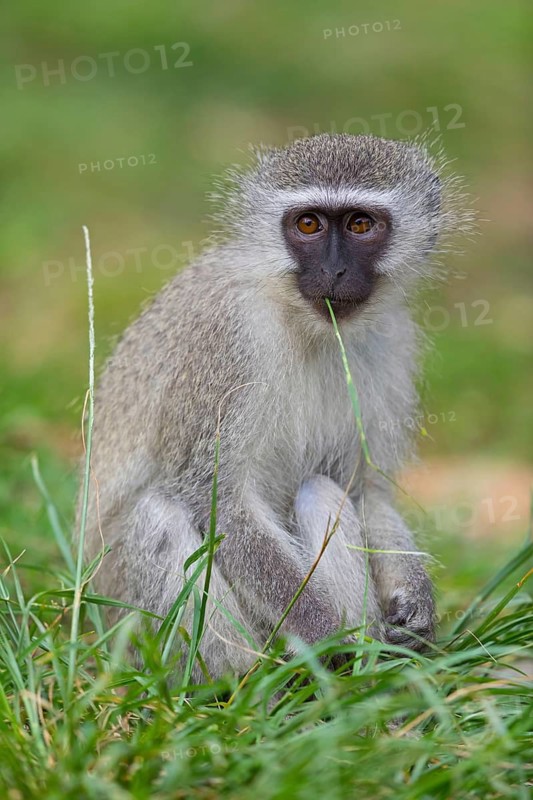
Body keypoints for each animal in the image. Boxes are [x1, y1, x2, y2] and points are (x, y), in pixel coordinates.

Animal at [80, 133, 472, 681]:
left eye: (360, 224)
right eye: (308, 224)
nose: (334, 270)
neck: (302, 320)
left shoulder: (392, 341)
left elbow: (364, 488)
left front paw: (415, 601)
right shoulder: (227, 341)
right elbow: (220, 504)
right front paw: (327, 631)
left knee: (321, 488)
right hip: (125, 622)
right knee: (158, 514)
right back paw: (248, 682)